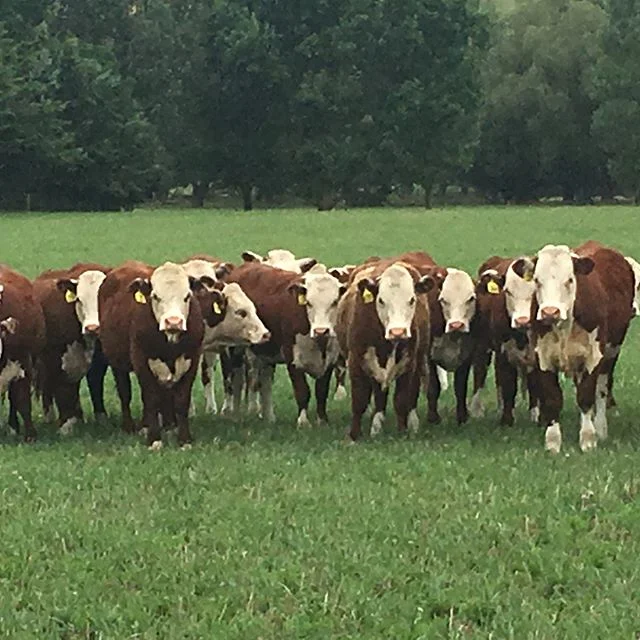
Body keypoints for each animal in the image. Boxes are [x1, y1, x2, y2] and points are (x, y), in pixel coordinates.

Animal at [99, 261, 204, 449]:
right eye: (155, 296)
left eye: (187, 296)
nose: (173, 322)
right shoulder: (141, 360)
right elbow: (151, 398)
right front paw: (154, 439)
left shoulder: (193, 358)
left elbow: (181, 400)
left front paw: (184, 440)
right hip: (117, 362)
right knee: (125, 393)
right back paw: (131, 426)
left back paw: (166, 426)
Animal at [227, 262, 345, 426]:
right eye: (309, 303)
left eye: (334, 302)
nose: (321, 331)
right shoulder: (292, 358)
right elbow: (302, 391)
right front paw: (303, 422)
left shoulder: (330, 360)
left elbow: (321, 392)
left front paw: (322, 421)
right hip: (236, 350)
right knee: (237, 380)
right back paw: (235, 415)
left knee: (266, 382)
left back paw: (269, 417)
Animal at [336, 259, 431, 440]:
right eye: (381, 300)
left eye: (412, 300)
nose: (397, 332)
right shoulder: (355, 361)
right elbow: (359, 400)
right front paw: (354, 435)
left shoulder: (409, 363)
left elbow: (401, 400)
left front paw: (402, 431)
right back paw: (376, 426)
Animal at [473, 256, 538, 426]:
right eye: (508, 291)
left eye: (535, 292)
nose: (523, 321)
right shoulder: (503, 351)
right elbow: (508, 384)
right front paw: (507, 420)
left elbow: (535, 384)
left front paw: (535, 415)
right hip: (482, 345)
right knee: (480, 373)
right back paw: (478, 410)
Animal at [527, 242, 634, 453]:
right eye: (536, 280)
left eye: (569, 280)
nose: (550, 312)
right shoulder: (542, 357)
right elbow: (552, 399)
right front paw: (553, 443)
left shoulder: (593, 357)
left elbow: (586, 397)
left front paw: (588, 439)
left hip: (611, 353)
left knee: (601, 390)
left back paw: (600, 428)